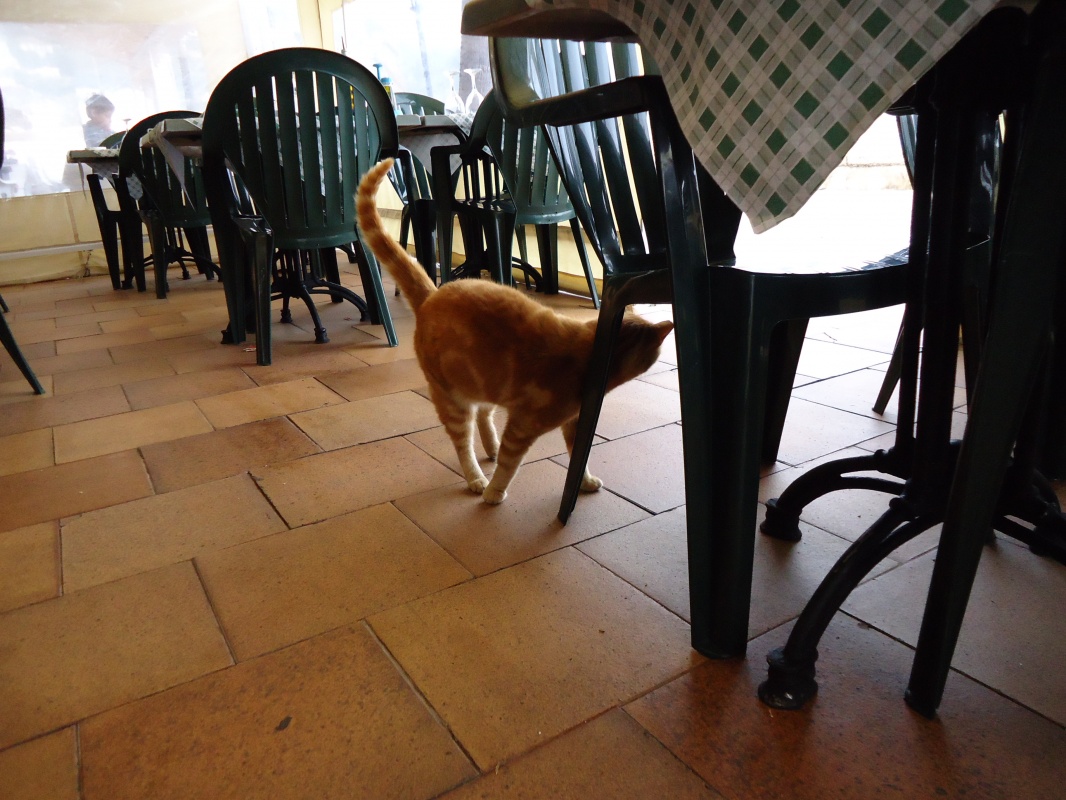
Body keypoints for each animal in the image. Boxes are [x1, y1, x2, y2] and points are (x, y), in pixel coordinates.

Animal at [357, 158, 673, 504]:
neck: (591, 352)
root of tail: (433, 294)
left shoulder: (573, 422)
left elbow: (578, 458)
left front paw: (586, 481)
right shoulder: (523, 425)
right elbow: (511, 465)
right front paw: (494, 493)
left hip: (483, 383)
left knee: (484, 416)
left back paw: (490, 449)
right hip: (452, 400)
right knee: (463, 444)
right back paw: (477, 478)